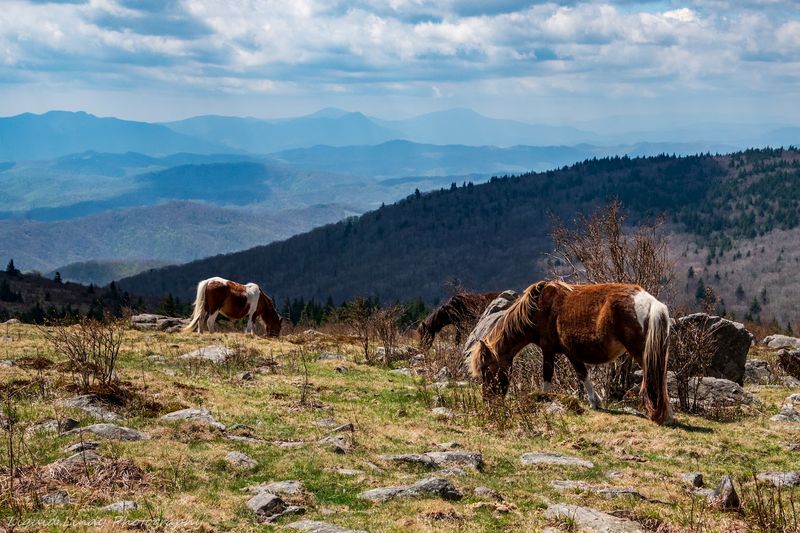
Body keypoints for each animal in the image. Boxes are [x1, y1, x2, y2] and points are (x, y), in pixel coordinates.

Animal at [467, 281, 672, 424]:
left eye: (487, 369)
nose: (488, 400)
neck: (538, 307)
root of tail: (651, 302)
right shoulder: (571, 352)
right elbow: (583, 374)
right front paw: (595, 401)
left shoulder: (549, 349)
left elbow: (549, 374)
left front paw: (545, 399)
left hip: (641, 353)